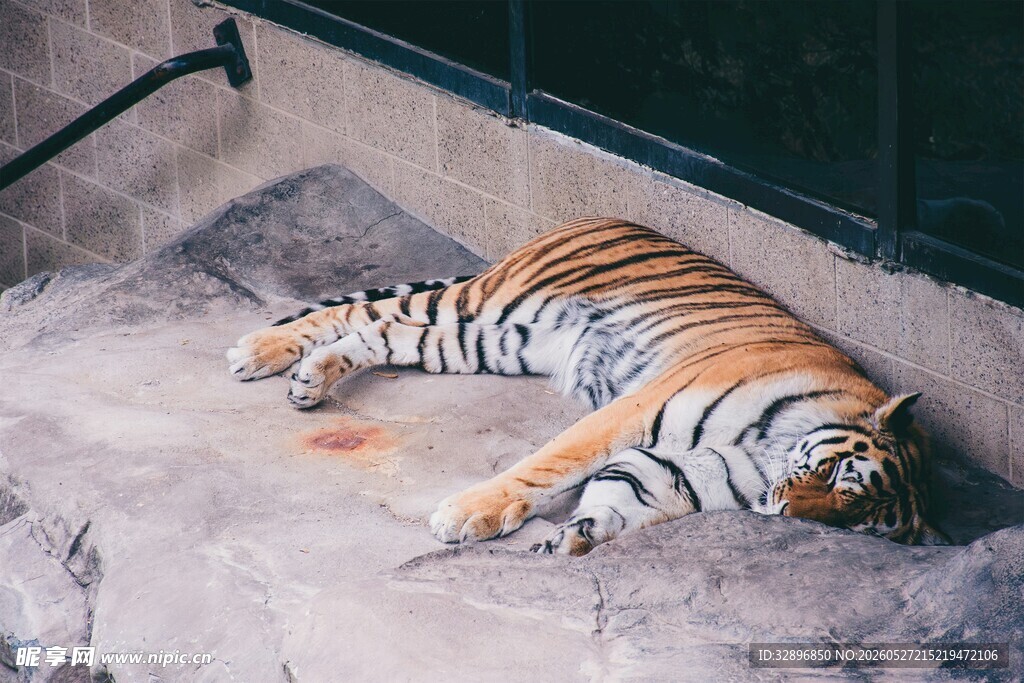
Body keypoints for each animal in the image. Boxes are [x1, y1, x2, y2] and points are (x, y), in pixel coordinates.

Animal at [227, 217, 950, 554]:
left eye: (851, 523)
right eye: (835, 478)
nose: (785, 513)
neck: (765, 452)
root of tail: (599, 217)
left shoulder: (696, 468)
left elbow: (633, 495)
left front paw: (584, 532)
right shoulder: (635, 409)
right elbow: (550, 462)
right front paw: (469, 513)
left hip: (496, 340)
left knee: (383, 330)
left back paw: (309, 379)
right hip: (490, 303)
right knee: (366, 310)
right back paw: (258, 352)